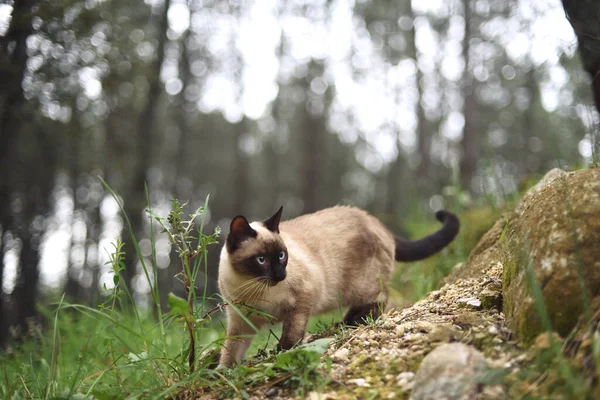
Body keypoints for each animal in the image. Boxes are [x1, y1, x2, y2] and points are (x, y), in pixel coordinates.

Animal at [219, 206, 460, 366]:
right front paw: (224, 372)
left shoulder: (302, 300)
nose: (281, 275)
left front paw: (280, 353)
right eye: (261, 260)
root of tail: (378, 224)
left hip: (361, 286)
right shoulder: (241, 323)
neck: (252, 287)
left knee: (380, 299)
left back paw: (352, 322)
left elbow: (290, 335)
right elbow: (230, 352)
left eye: (281, 255)